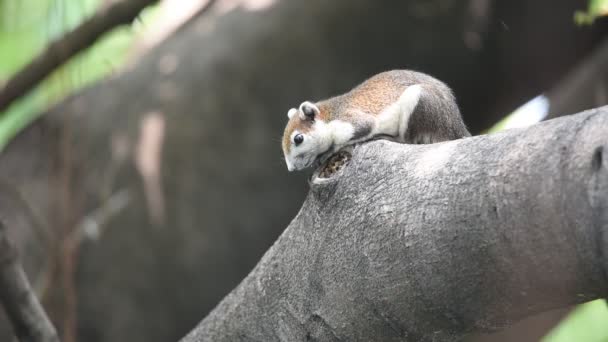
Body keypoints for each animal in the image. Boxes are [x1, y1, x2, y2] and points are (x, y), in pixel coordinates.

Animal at [280, 69, 470, 171]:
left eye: (298, 138)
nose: (291, 168)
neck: (329, 116)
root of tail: (456, 127)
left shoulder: (351, 121)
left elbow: (358, 132)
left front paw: (327, 153)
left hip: (420, 101)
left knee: (407, 140)